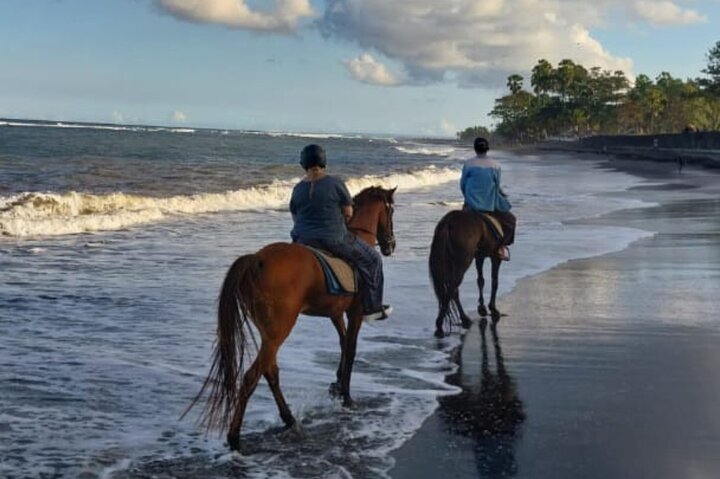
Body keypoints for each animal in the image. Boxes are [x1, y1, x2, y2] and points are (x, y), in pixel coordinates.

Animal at [184, 186, 397, 450]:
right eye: (391, 211)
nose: (390, 245)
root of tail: (256, 260)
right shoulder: (355, 312)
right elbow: (351, 349)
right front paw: (346, 397)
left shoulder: (336, 313)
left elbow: (343, 343)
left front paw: (337, 386)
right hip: (279, 329)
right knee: (252, 376)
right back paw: (235, 437)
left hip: (269, 332)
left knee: (270, 370)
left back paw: (288, 418)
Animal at [429, 209, 504, 338]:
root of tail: (448, 222)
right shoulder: (495, 257)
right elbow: (494, 281)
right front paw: (492, 309)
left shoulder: (480, 257)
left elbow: (481, 280)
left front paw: (482, 308)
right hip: (463, 262)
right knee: (452, 288)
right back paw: (441, 325)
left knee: (453, 290)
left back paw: (462, 319)